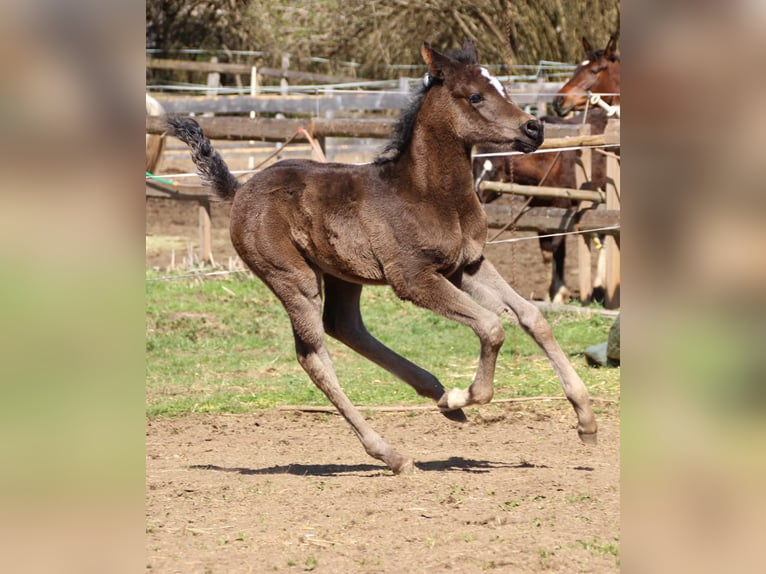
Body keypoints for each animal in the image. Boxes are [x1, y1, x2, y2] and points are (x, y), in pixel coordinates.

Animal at [168, 41, 597, 475]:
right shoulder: (413, 278)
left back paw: (437, 396)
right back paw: (394, 450)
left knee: (345, 326)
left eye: (504, 89)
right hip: (292, 279)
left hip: (342, 275)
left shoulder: (468, 265)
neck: (428, 194)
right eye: (475, 95)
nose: (534, 128)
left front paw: (585, 420)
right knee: (314, 356)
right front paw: (465, 395)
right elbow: (492, 327)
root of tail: (239, 191)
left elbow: (532, 317)